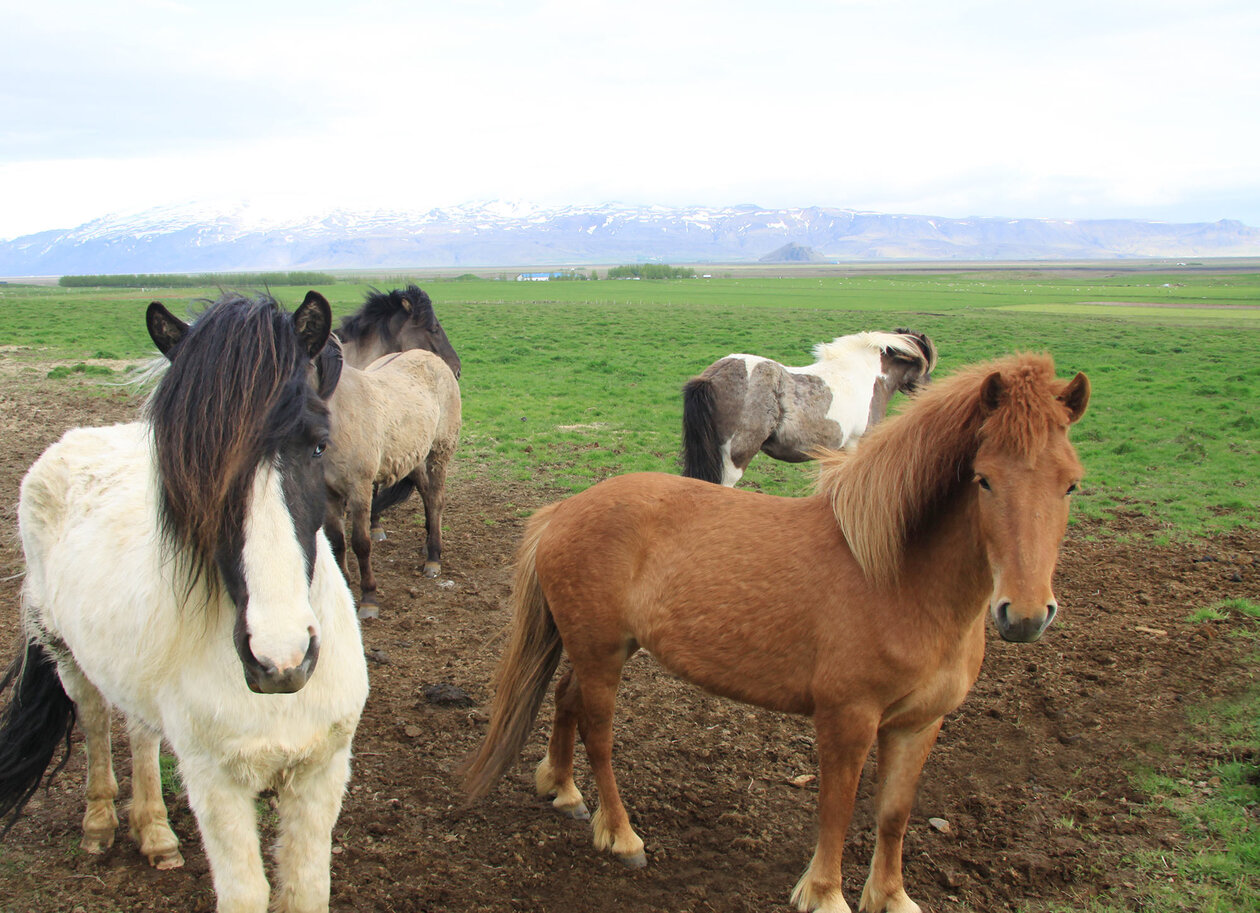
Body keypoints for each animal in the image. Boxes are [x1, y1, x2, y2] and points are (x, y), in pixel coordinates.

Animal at [0, 291, 369, 913]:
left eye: (319, 445)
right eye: (193, 470)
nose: (280, 660)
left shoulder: (321, 773)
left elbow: (304, 890)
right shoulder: (216, 783)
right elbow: (244, 893)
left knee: (139, 731)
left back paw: (155, 833)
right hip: (66, 654)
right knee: (94, 720)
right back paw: (99, 825)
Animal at [321, 345, 462, 620]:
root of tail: (431, 357)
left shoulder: (359, 489)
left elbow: (360, 543)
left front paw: (369, 600)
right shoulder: (329, 492)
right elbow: (337, 542)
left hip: (439, 452)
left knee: (436, 500)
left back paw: (433, 558)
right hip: (414, 455)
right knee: (426, 494)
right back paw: (428, 543)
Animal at [462, 352, 1089, 913]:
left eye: (1071, 486)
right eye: (984, 480)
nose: (1025, 615)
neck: (895, 575)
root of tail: (564, 510)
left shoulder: (919, 724)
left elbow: (893, 814)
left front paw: (891, 896)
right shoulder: (847, 719)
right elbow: (838, 808)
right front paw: (825, 895)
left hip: (602, 648)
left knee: (566, 699)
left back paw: (562, 790)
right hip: (601, 654)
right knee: (599, 735)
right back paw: (620, 835)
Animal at [681, 329, 937, 486]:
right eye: (925, 364)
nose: (928, 389)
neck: (864, 375)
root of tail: (713, 375)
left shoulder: (832, 453)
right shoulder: (854, 446)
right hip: (733, 460)